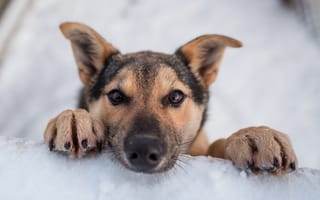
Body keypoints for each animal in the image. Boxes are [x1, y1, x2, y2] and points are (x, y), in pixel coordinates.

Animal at [43, 21, 296, 174]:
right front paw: (74, 119)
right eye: (115, 95)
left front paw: (253, 136)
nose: (143, 152)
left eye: (176, 96)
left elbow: (217, 145)